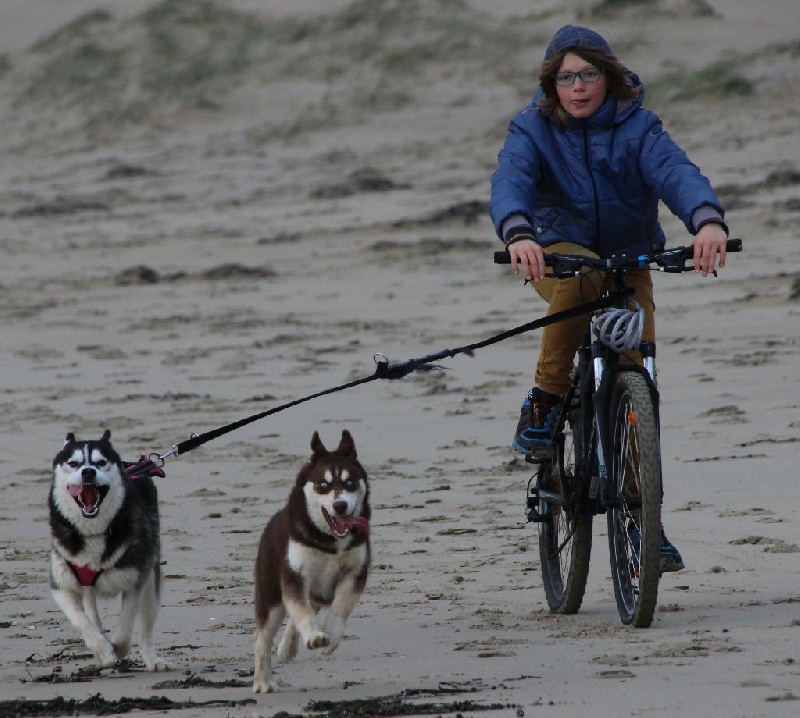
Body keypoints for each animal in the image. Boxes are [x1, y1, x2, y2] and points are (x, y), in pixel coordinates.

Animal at [49, 430, 173, 671]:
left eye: (101, 462)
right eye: (73, 463)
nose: (88, 471)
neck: (93, 532)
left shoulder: (135, 580)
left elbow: (125, 625)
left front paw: (118, 648)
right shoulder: (61, 586)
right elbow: (82, 621)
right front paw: (103, 651)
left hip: (151, 581)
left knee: (147, 627)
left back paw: (153, 659)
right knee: (91, 610)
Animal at [252, 430, 370, 693]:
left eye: (350, 483)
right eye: (323, 485)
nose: (340, 505)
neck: (330, 542)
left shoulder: (355, 573)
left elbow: (341, 607)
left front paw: (330, 639)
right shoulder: (294, 576)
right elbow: (301, 610)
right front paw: (315, 637)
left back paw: (288, 647)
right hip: (271, 596)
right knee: (262, 638)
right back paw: (263, 681)